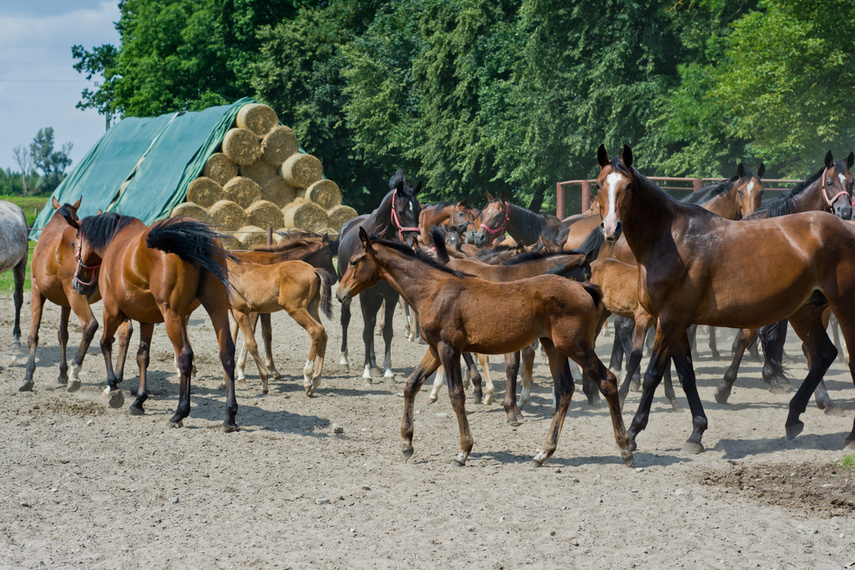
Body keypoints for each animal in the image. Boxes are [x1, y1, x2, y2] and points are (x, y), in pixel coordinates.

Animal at [75, 215, 239, 428]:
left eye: (74, 244)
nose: (77, 284)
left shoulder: (111, 312)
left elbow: (105, 344)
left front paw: (112, 386)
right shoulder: (148, 320)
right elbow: (142, 356)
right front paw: (139, 401)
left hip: (172, 315)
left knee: (184, 356)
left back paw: (179, 413)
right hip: (216, 306)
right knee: (226, 352)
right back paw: (230, 416)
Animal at [226, 258, 332, 394]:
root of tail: (313, 269)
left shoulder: (240, 312)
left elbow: (250, 343)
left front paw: (263, 382)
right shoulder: (233, 313)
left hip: (295, 309)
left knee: (316, 330)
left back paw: (308, 379)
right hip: (311, 307)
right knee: (323, 334)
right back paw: (315, 381)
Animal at [336, 225, 636, 466]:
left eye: (353, 261)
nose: (339, 293)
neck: (433, 289)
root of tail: (583, 290)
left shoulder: (448, 349)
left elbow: (457, 395)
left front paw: (463, 450)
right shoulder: (435, 349)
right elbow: (411, 385)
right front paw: (407, 444)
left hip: (576, 347)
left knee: (607, 381)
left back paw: (625, 448)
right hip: (554, 347)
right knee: (564, 390)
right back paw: (543, 453)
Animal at [338, 169, 424, 382]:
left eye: (419, 210)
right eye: (401, 212)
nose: (414, 242)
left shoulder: (390, 295)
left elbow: (386, 331)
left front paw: (387, 371)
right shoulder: (364, 295)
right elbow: (367, 331)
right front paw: (366, 373)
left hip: (377, 297)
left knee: (372, 321)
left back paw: (375, 363)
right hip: (350, 294)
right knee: (346, 319)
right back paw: (345, 360)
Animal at [596, 143, 855, 452]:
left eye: (628, 186)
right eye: (599, 185)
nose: (611, 228)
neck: (671, 239)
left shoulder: (669, 320)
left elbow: (653, 375)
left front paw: (632, 434)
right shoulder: (676, 322)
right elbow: (687, 374)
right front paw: (696, 432)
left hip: (842, 308)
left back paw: (848, 435)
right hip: (805, 311)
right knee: (823, 354)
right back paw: (794, 418)